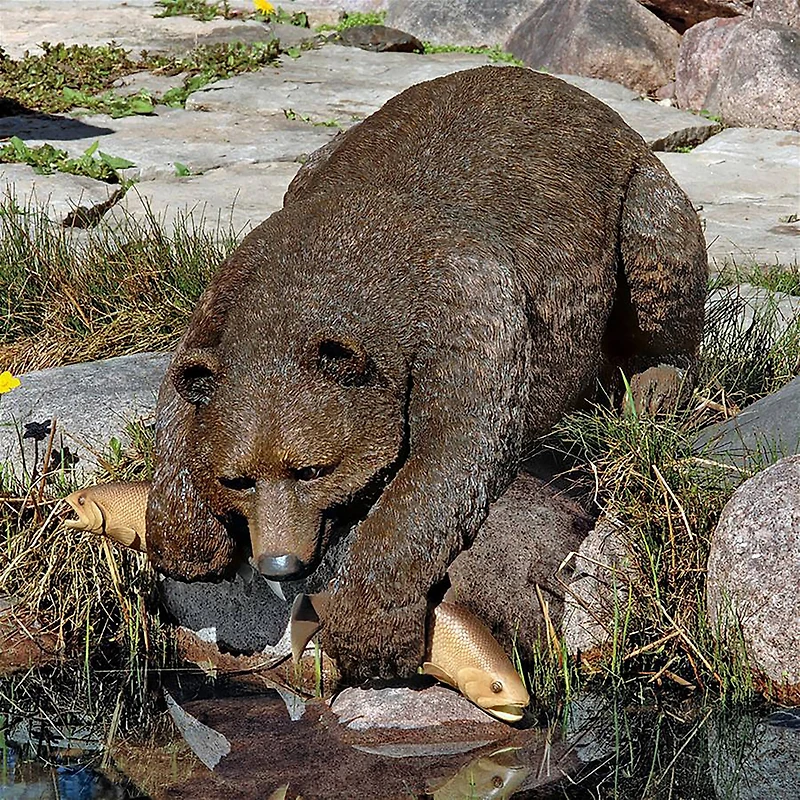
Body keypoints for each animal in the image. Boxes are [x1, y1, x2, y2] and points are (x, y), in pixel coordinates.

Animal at [146, 65, 707, 681]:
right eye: (238, 478)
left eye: (312, 469)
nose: (279, 561)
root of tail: (594, 102)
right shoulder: (230, 288)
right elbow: (179, 393)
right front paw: (189, 538)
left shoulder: (471, 312)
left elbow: (450, 459)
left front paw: (370, 633)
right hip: (314, 160)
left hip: (638, 193)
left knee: (660, 264)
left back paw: (649, 391)